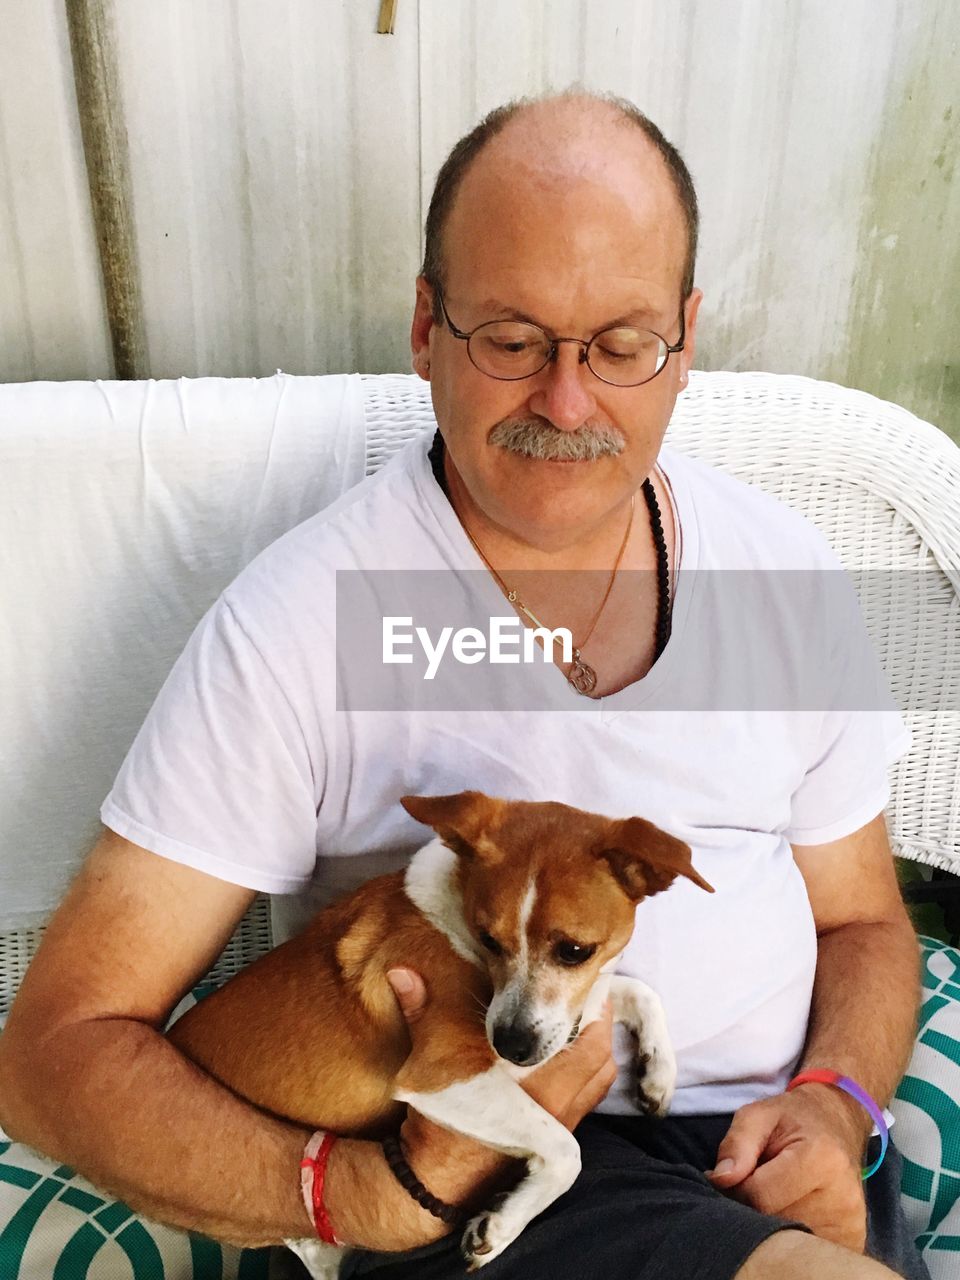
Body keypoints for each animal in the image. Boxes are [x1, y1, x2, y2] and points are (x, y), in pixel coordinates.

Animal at [168, 788, 716, 1269]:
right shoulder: (444, 1074)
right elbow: (566, 1148)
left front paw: (657, 1074)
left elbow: (638, 992)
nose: (511, 1046)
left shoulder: (573, 1013)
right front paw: (502, 1224)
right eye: (487, 939)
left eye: (575, 951)